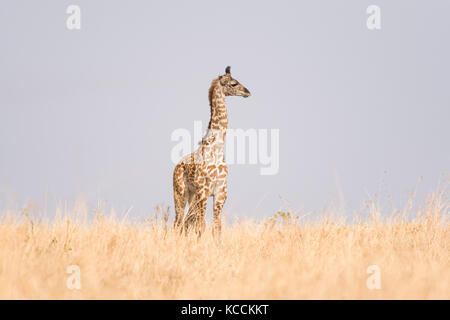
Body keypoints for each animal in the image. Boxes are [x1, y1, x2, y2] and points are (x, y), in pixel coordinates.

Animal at [172, 65, 251, 235]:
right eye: (234, 84)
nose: (247, 92)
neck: (216, 147)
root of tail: (177, 166)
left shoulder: (221, 193)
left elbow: (216, 228)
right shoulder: (204, 191)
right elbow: (201, 226)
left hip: (192, 196)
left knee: (186, 222)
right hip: (180, 192)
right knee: (178, 223)